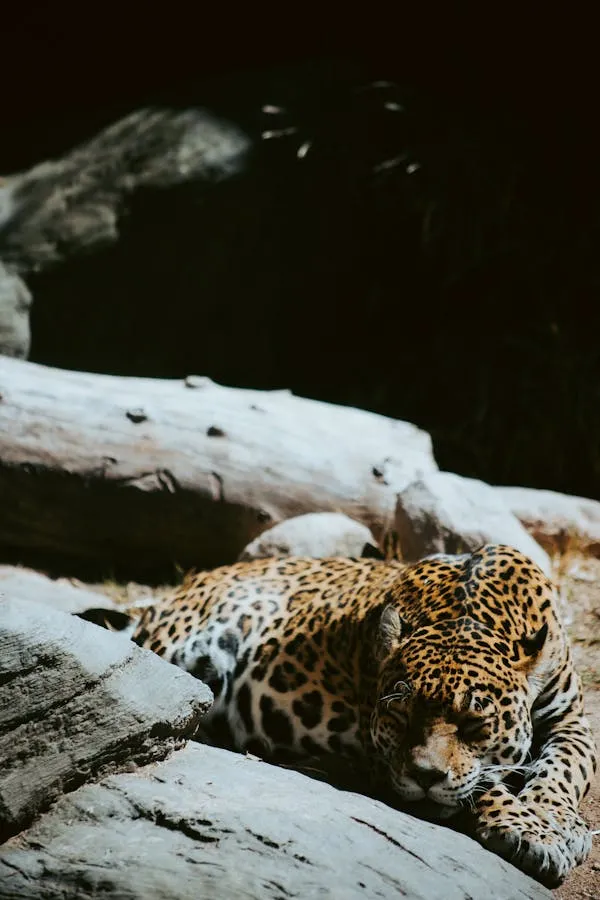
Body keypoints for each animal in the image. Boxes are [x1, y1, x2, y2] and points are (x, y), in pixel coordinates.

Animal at [112, 543, 597, 887]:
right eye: (400, 717)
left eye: (475, 724)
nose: (424, 777)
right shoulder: (381, 751)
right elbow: (482, 785)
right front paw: (531, 831)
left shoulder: (572, 721)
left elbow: (566, 768)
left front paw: (558, 821)